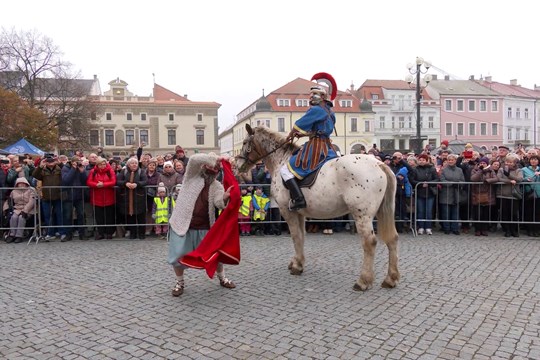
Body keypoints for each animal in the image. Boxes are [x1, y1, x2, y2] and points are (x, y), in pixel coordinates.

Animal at [237, 125, 400, 292]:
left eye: (244, 143)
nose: (237, 165)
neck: (281, 160)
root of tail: (380, 164)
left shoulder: (286, 210)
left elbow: (295, 236)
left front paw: (297, 266)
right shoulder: (299, 212)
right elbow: (301, 236)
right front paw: (298, 261)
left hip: (362, 214)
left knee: (369, 242)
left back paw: (363, 281)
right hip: (382, 211)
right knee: (392, 238)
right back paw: (391, 279)